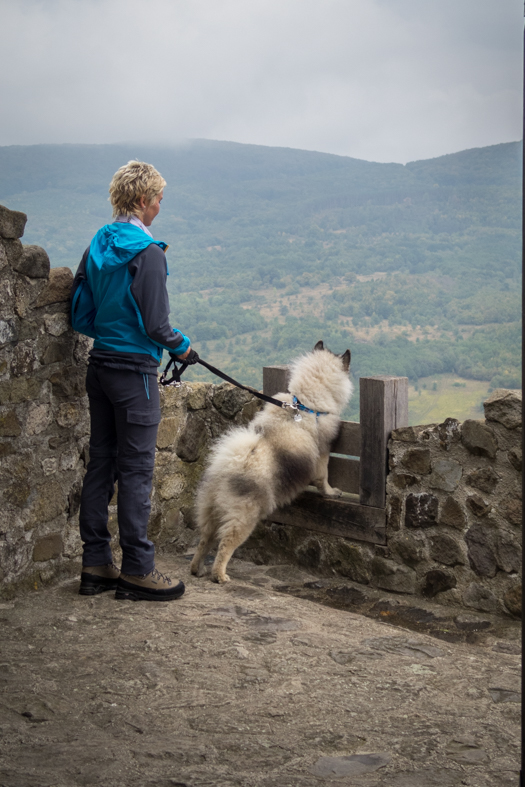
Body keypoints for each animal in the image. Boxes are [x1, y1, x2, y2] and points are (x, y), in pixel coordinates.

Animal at [189, 342, 352, 580]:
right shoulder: (322, 453)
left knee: (204, 541)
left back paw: (197, 568)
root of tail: (229, 466)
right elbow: (323, 478)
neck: (305, 403)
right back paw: (219, 575)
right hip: (244, 516)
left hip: (210, 509)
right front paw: (331, 492)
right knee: (225, 544)